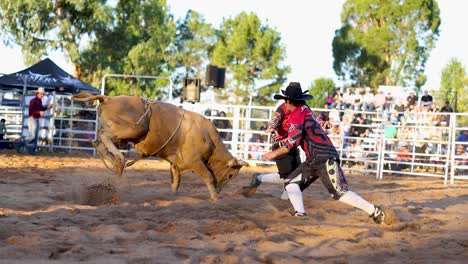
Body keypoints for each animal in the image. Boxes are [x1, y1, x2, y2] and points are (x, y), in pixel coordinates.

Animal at [72, 93, 249, 200]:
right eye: (231, 175)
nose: (220, 190)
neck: (208, 138)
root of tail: (108, 98)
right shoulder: (195, 162)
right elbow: (208, 177)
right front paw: (215, 198)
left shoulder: (175, 164)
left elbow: (176, 183)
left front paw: (173, 198)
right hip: (134, 128)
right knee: (103, 135)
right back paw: (120, 160)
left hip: (124, 135)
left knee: (100, 142)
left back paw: (115, 164)